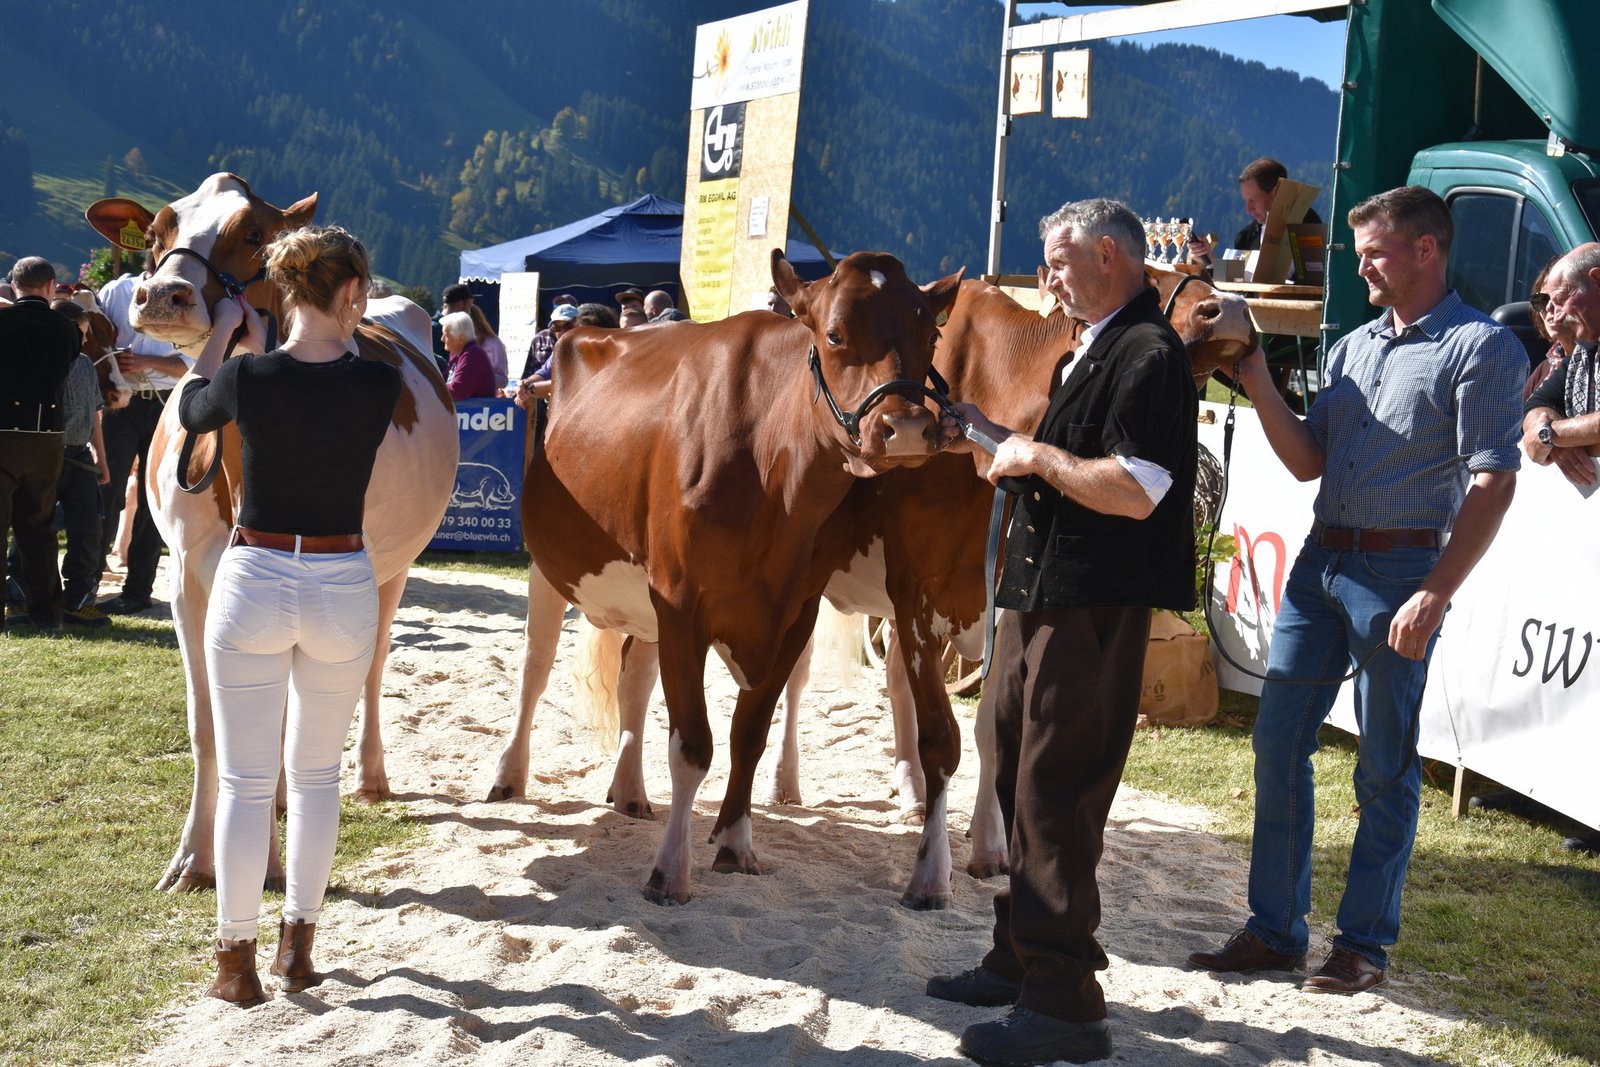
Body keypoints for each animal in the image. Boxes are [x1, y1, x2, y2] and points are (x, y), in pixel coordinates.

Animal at [494, 250, 963, 905]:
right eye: (835, 334)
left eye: (931, 336)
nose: (911, 429)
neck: (772, 473)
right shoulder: (682, 601)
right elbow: (693, 745)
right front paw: (670, 870)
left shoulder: (794, 610)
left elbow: (750, 734)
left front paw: (736, 845)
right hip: (550, 567)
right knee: (534, 671)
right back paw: (509, 776)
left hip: (647, 600)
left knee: (634, 679)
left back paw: (628, 790)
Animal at [570, 269, 1257, 907]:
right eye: (1151, 277)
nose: (1231, 308)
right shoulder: (917, 591)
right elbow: (942, 737)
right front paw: (931, 875)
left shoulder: (997, 598)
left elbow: (988, 731)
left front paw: (987, 846)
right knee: (711, 673)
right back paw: (719, 788)